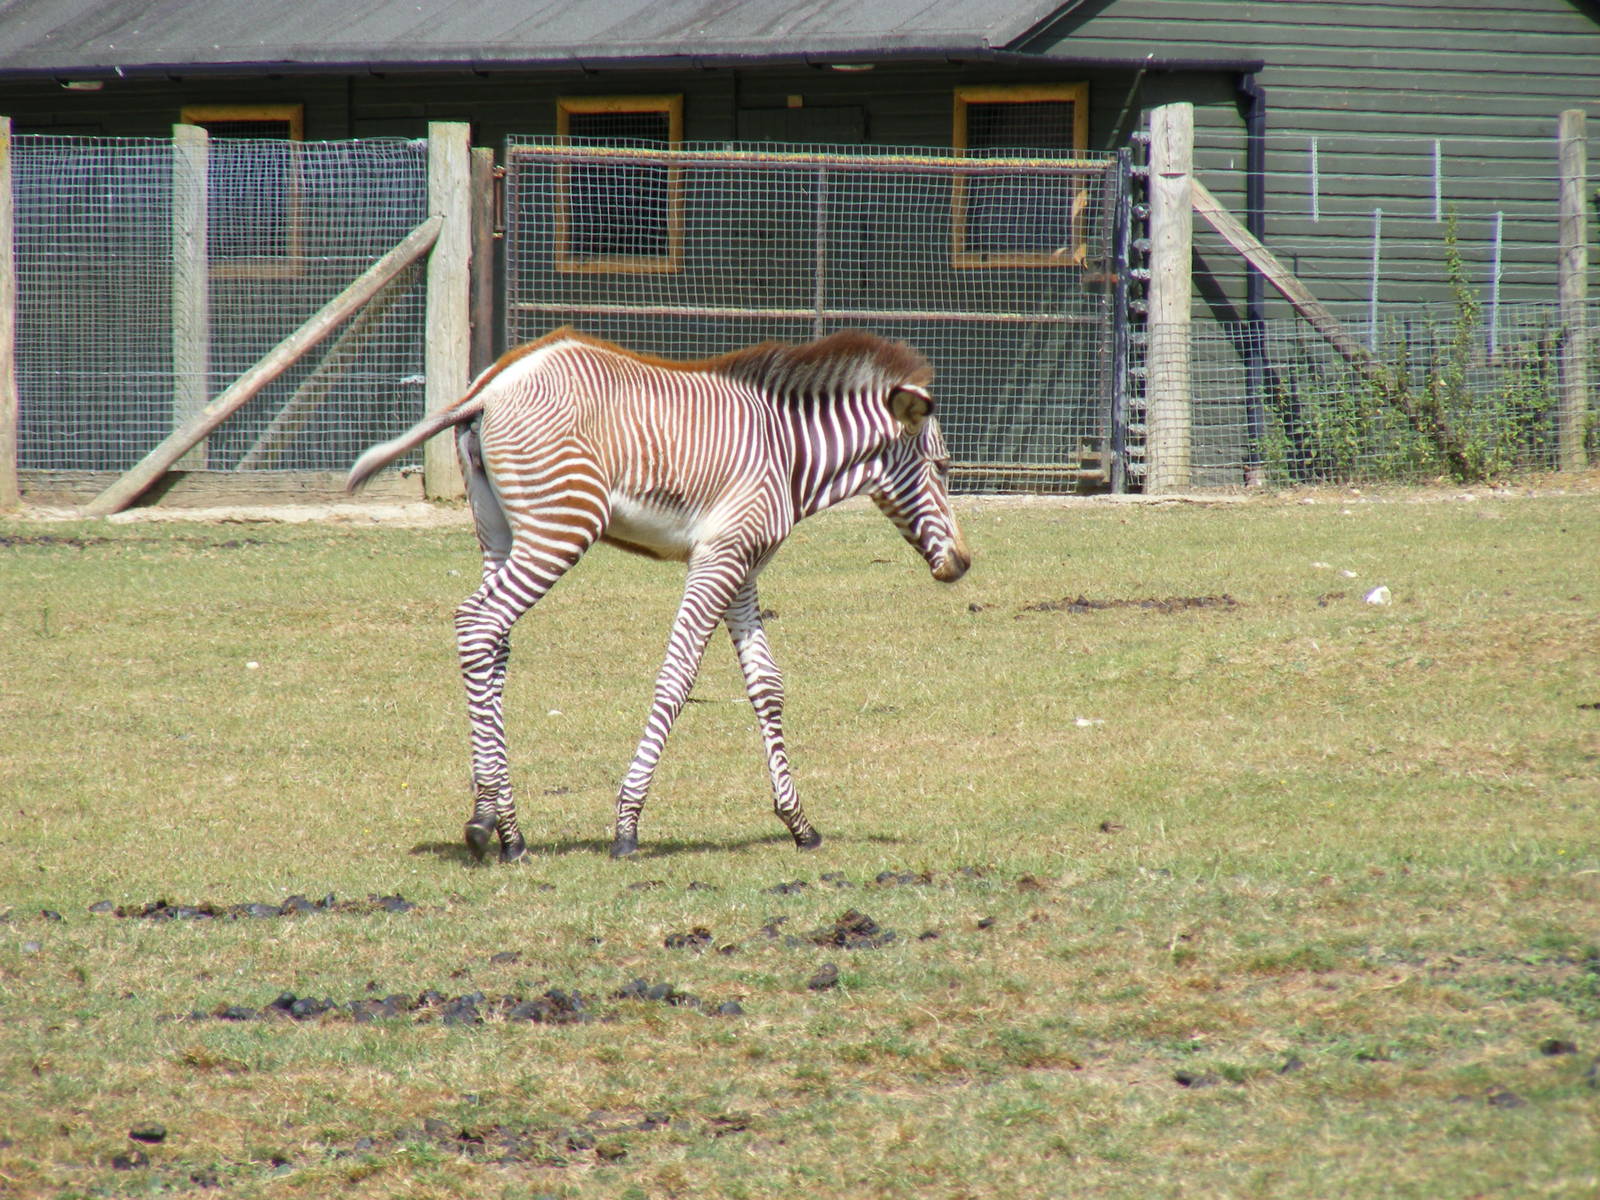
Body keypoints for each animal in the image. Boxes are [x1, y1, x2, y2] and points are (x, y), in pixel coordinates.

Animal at [347, 327, 970, 862]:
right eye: (941, 467)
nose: (962, 564)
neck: (789, 455)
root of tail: (492, 383)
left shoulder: (742, 566)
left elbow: (767, 685)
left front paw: (799, 823)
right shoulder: (718, 559)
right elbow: (678, 677)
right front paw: (627, 824)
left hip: (499, 530)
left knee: (493, 642)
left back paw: (496, 820)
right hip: (563, 524)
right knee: (478, 623)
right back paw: (498, 829)